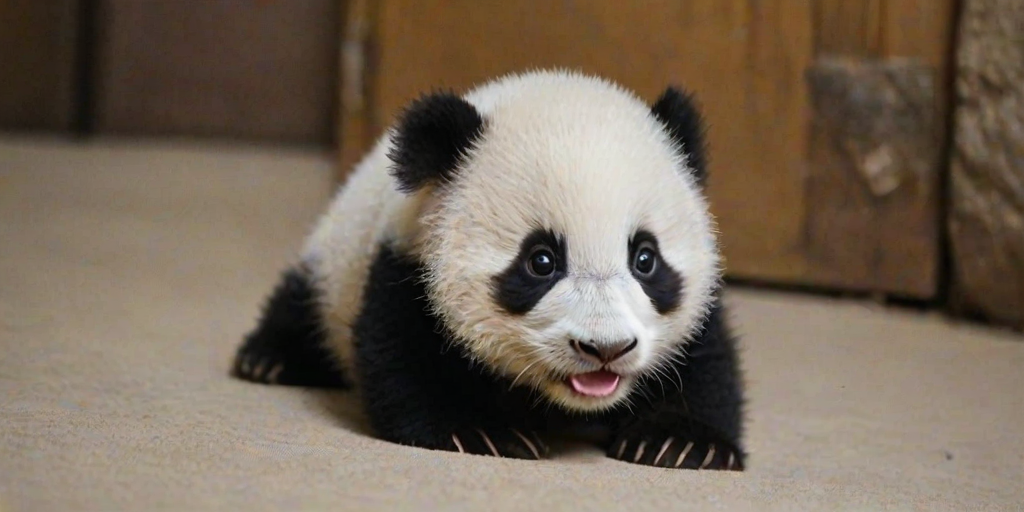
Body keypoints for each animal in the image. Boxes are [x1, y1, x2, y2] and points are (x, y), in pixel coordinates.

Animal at [231, 68, 746, 471]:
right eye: (541, 262)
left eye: (645, 259)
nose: (606, 349)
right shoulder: (406, 262)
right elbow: (405, 355)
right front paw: (482, 432)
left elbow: (706, 362)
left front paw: (680, 443)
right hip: (335, 260)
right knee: (304, 298)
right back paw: (269, 358)